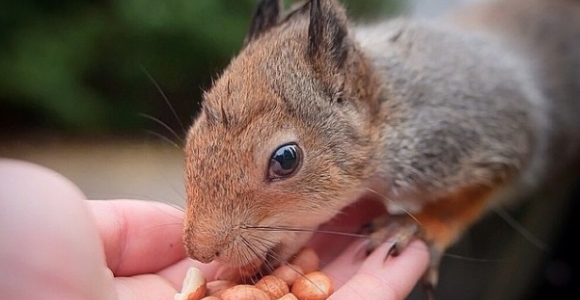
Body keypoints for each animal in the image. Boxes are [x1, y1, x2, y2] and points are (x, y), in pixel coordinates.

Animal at [181, 0, 580, 298]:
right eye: (191, 134)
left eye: (286, 159)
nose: (200, 250)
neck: (390, 111)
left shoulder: (484, 137)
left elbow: (478, 191)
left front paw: (417, 226)